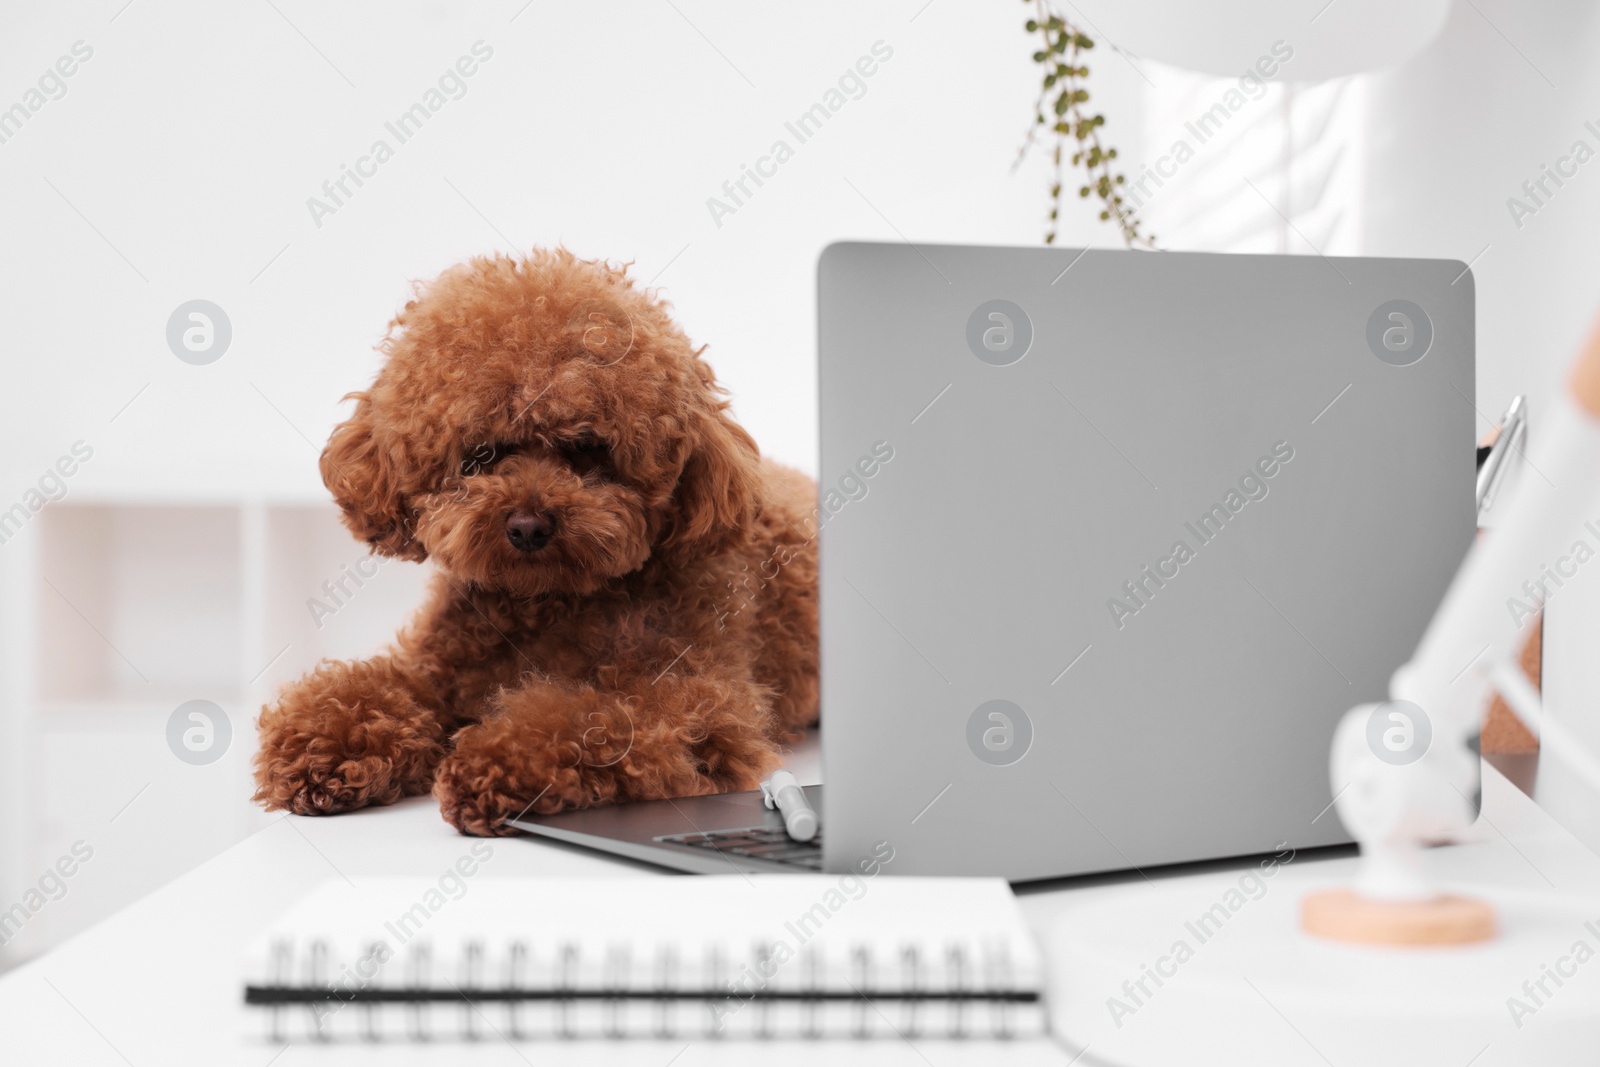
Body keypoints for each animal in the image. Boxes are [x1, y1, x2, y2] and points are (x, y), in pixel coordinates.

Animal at [257, 247, 825, 831]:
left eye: (587, 449)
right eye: (481, 453)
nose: (528, 526)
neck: (546, 604)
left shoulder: (698, 703)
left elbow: (593, 716)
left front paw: (497, 761)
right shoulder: (436, 668)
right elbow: (379, 688)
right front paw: (327, 745)